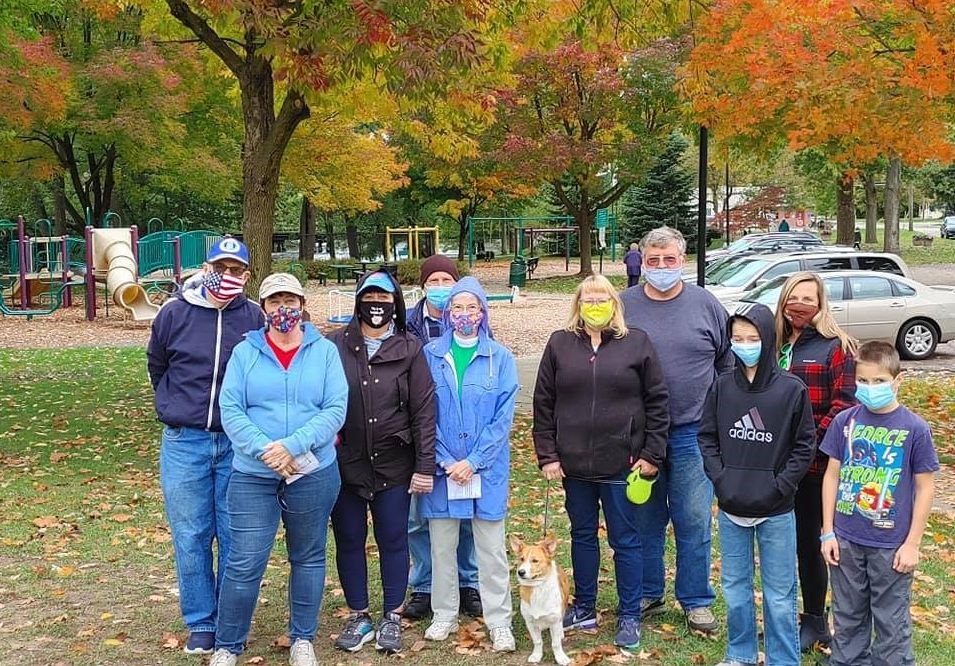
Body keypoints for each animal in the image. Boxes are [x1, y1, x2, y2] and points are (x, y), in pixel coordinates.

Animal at [512, 536, 572, 664]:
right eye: (521, 559)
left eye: (535, 561)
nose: (520, 572)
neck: (537, 588)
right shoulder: (530, 622)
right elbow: (538, 641)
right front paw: (537, 655)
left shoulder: (554, 621)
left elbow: (556, 644)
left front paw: (560, 657)